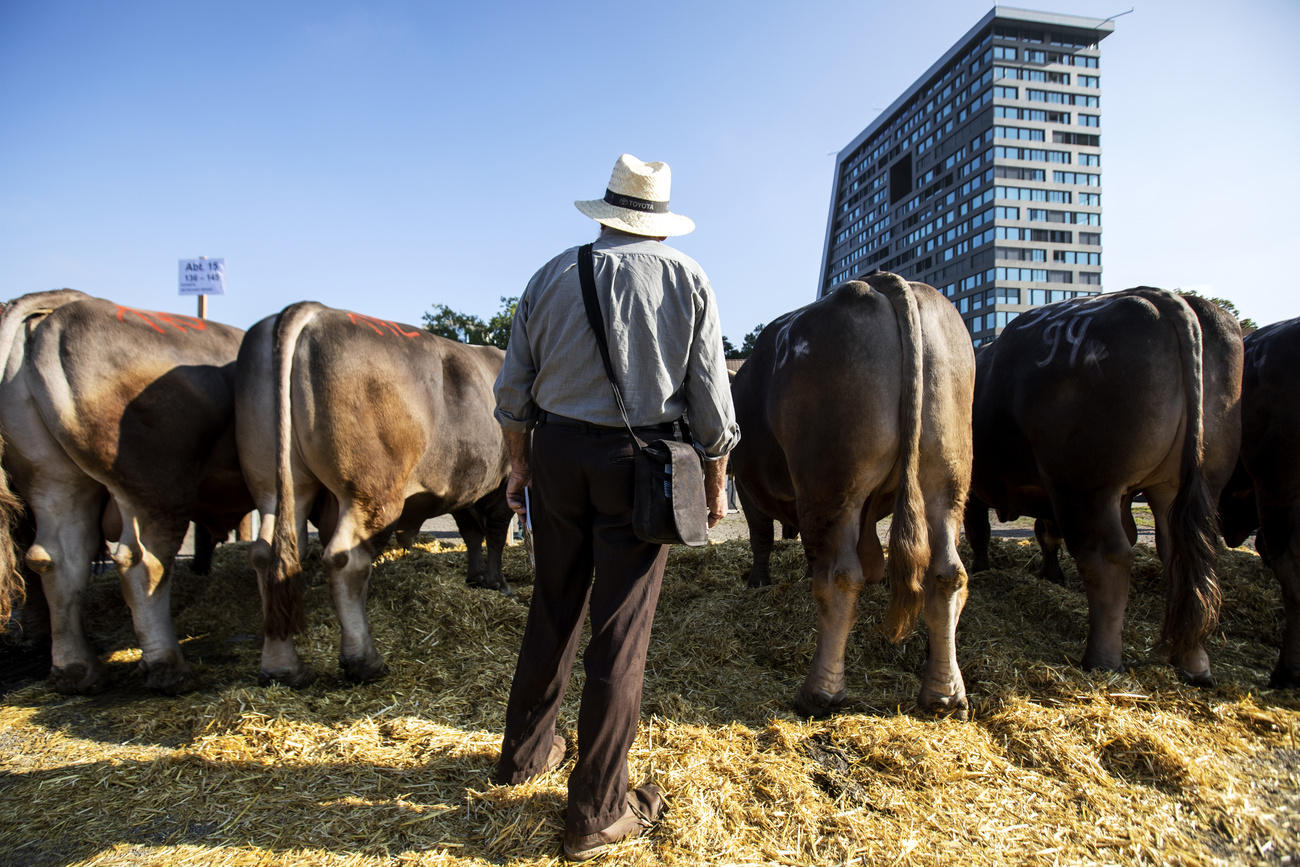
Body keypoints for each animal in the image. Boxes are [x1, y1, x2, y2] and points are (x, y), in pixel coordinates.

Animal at [0, 289, 250, 691]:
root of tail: (60, 311)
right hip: (156, 489)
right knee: (142, 564)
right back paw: (166, 667)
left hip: (54, 481)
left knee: (59, 562)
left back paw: (77, 670)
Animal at [236, 301, 509, 686]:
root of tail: (316, 311)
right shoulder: (504, 483)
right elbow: (495, 534)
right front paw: (496, 582)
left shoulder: (464, 488)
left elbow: (472, 533)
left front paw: (475, 578)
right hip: (370, 493)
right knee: (346, 560)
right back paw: (364, 660)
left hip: (275, 485)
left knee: (269, 555)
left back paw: (282, 667)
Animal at [733, 272, 977, 717]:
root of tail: (880, 284)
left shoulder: (746, 484)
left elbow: (761, 538)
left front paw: (758, 580)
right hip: (946, 481)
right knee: (948, 573)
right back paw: (945, 694)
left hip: (830, 484)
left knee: (840, 577)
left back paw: (820, 692)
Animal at [972, 289, 1242, 686]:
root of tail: (1161, 298)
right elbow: (1044, 535)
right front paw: (1050, 576)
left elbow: (980, 533)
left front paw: (981, 570)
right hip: (1186, 486)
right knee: (1184, 555)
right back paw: (1193, 662)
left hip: (1085, 487)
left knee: (1106, 558)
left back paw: (1101, 660)